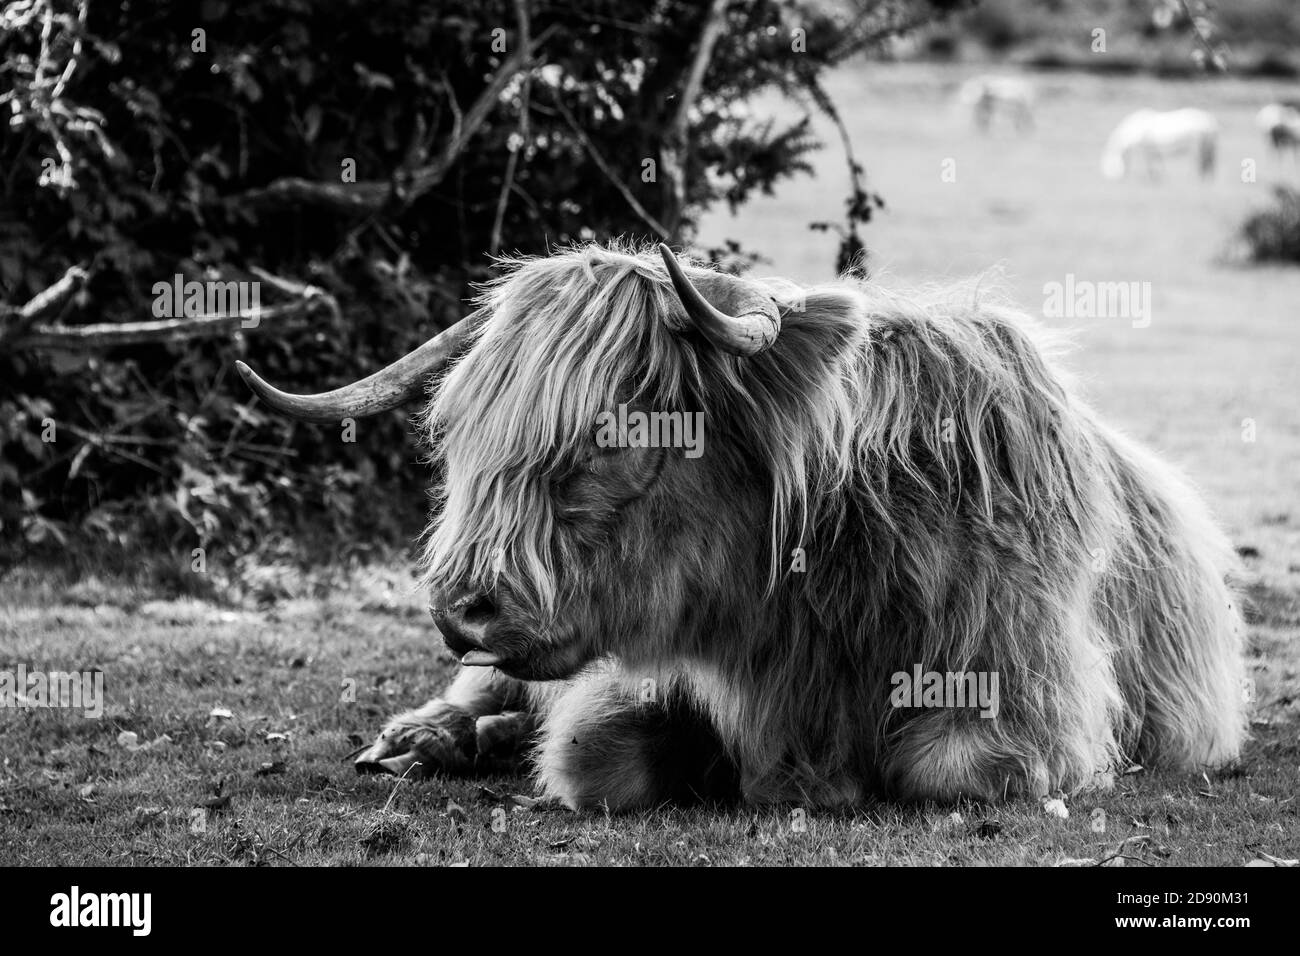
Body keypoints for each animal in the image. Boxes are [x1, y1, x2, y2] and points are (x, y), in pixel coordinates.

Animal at [236, 243, 1246, 809]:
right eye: (458, 434)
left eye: (614, 434)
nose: (462, 608)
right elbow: (596, 756)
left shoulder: (1032, 705)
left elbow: (949, 772)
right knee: (480, 694)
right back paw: (417, 743)